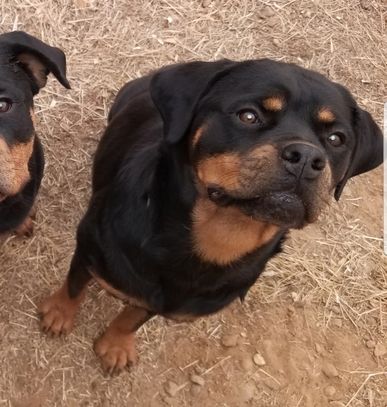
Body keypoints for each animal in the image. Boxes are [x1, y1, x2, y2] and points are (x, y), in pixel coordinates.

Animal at [38, 59, 384, 374]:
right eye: (248, 115)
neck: (214, 240)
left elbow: (133, 317)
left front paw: (115, 345)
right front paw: (59, 315)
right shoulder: (89, 249)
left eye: (336, 139)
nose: (307, 157)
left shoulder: (164, 300)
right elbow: (74, 286)